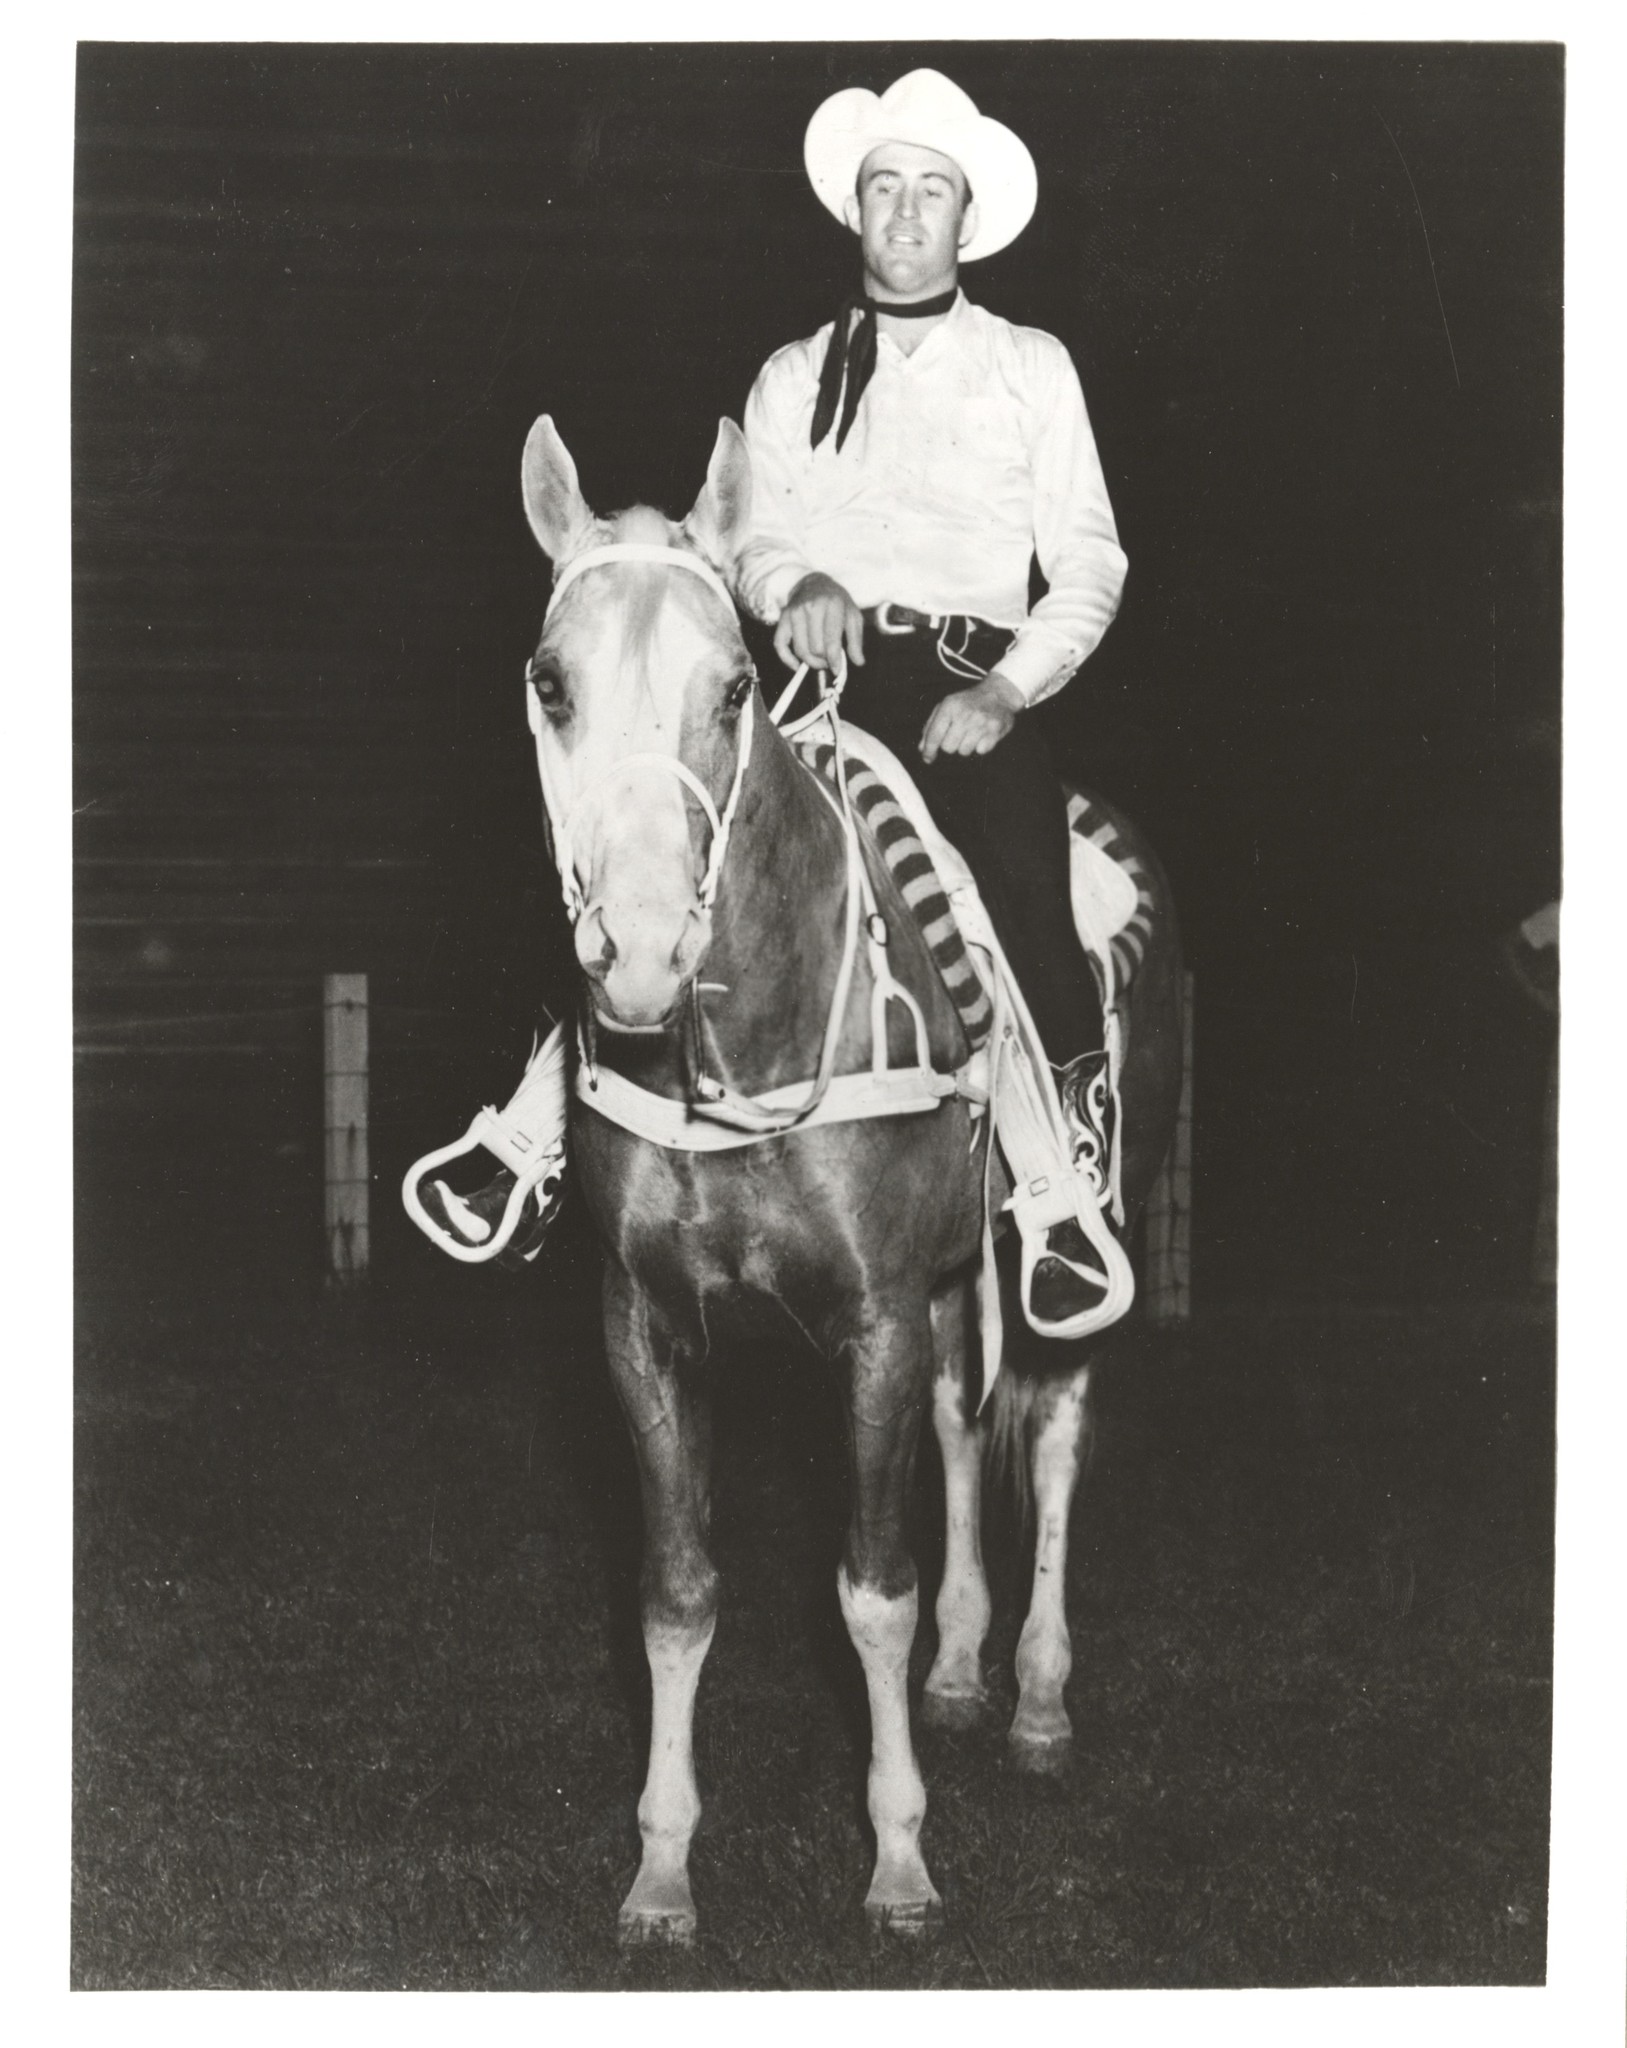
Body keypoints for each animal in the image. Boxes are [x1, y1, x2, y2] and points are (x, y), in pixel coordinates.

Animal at [520, 411, 1180, 1933]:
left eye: (732, 686)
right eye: (550, 682)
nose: (639, 957)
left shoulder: (868, 1320)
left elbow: (870, 1590)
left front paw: (897, 1858)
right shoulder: (645, 1325)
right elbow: (676, 1595)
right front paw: (660, 1867)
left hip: (1071, 1247)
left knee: (1056, 1433)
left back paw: (1037, 1698)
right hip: (938, 1285)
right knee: (960, 1426)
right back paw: (962, 1673)